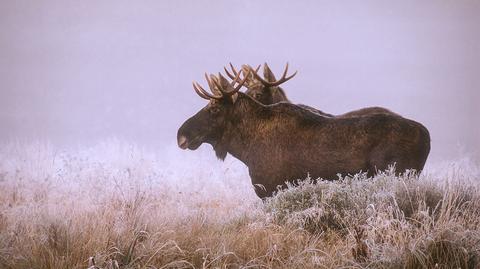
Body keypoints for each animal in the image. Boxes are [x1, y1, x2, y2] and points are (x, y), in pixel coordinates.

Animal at [176, 69, 432, 198]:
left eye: (214, 109)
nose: (181, 134)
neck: (246, 149)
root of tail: (428, 137)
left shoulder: (271, 189)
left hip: (398, 175)